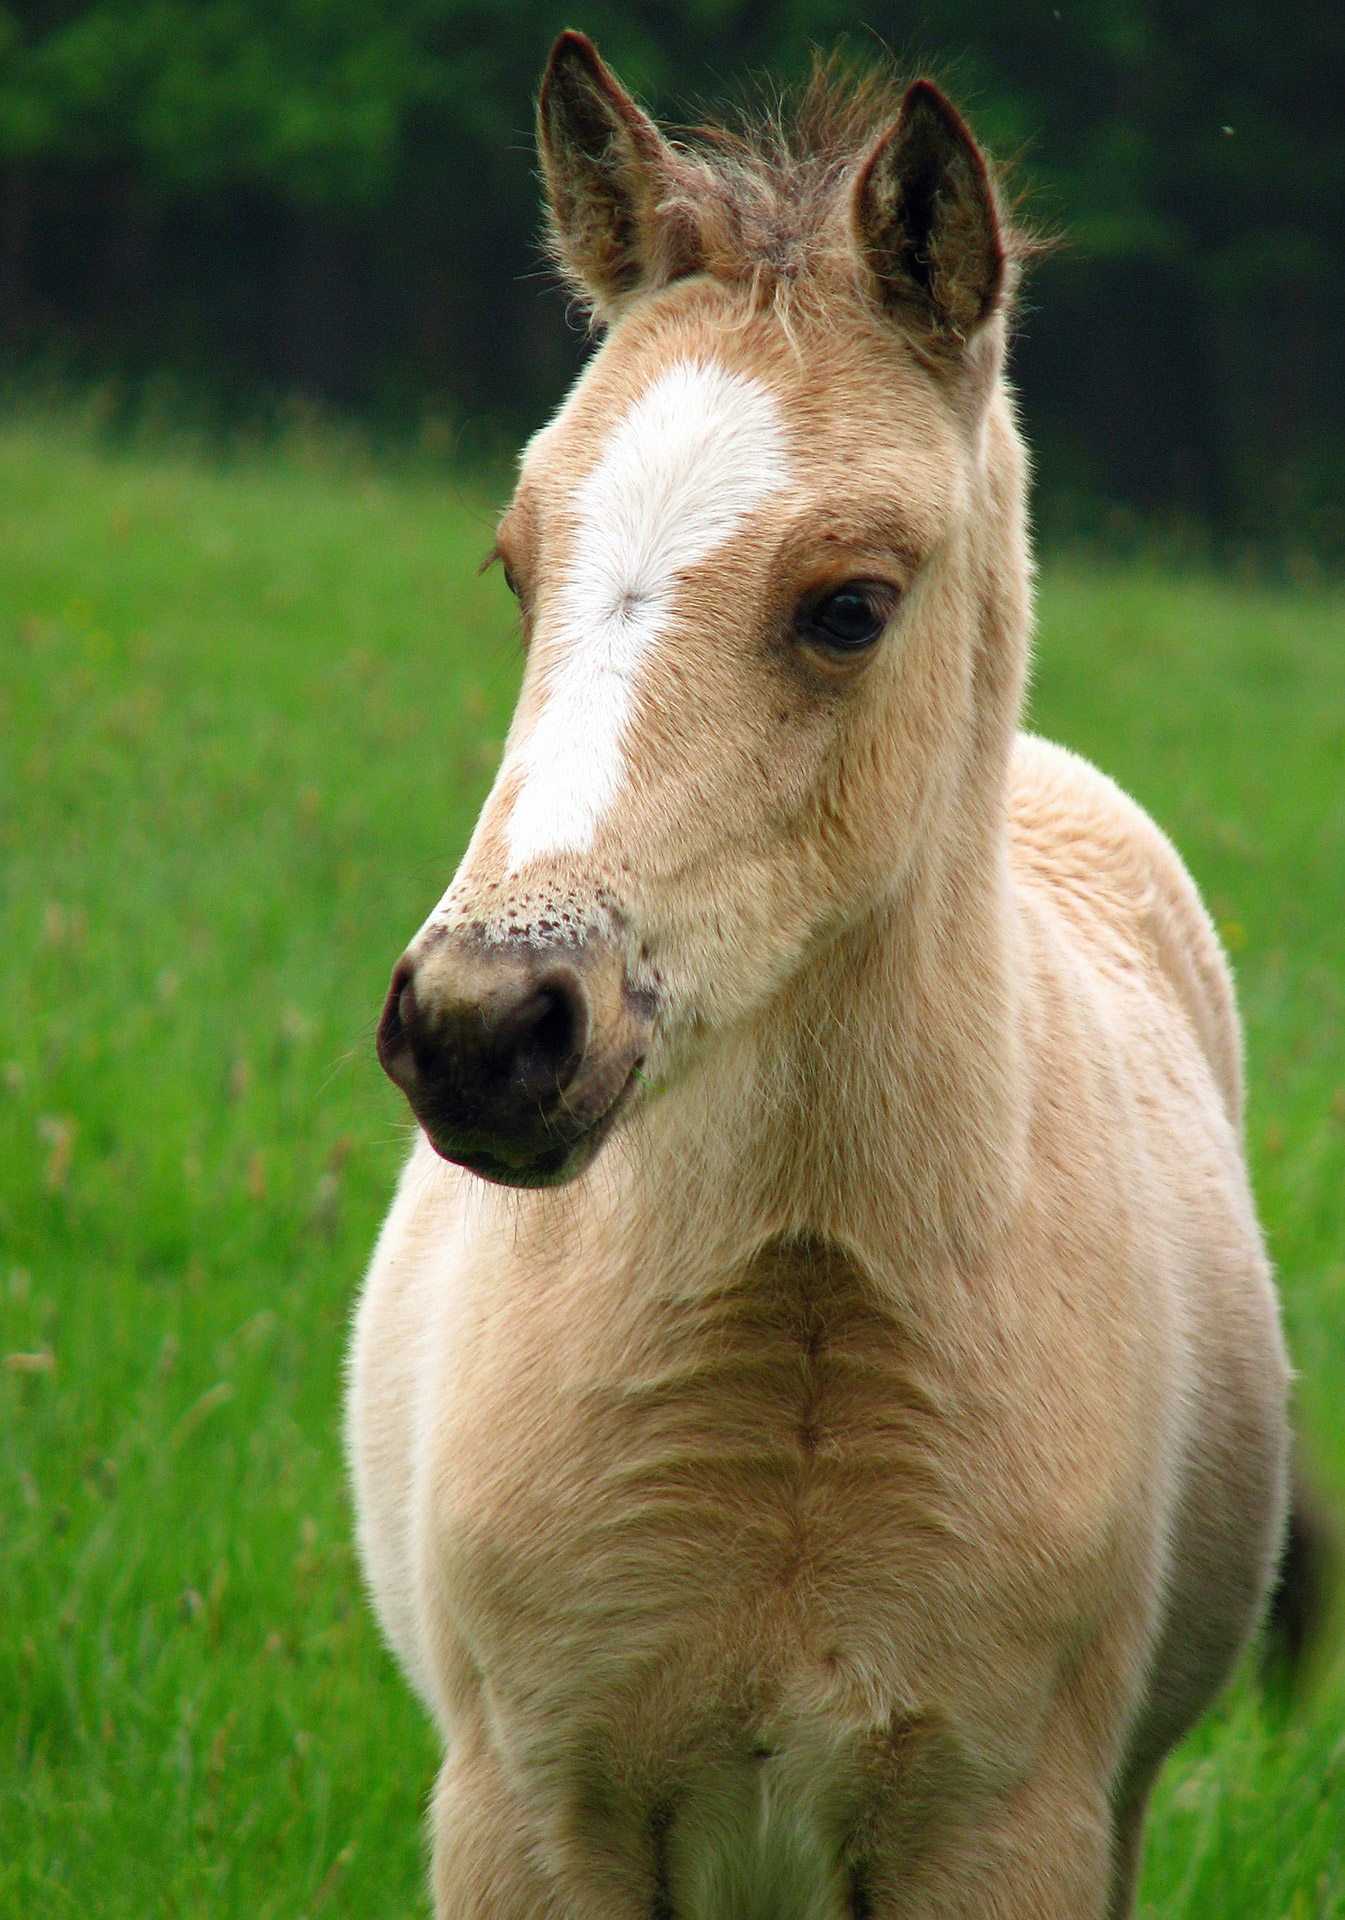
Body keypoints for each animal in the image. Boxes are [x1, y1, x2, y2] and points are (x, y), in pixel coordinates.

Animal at [345, 33, 1289, 1920]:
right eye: (515, 566)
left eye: (849, 605)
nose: (483, 1032)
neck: (793, 1305)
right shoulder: (523, 1818)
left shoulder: (1008, 1829)